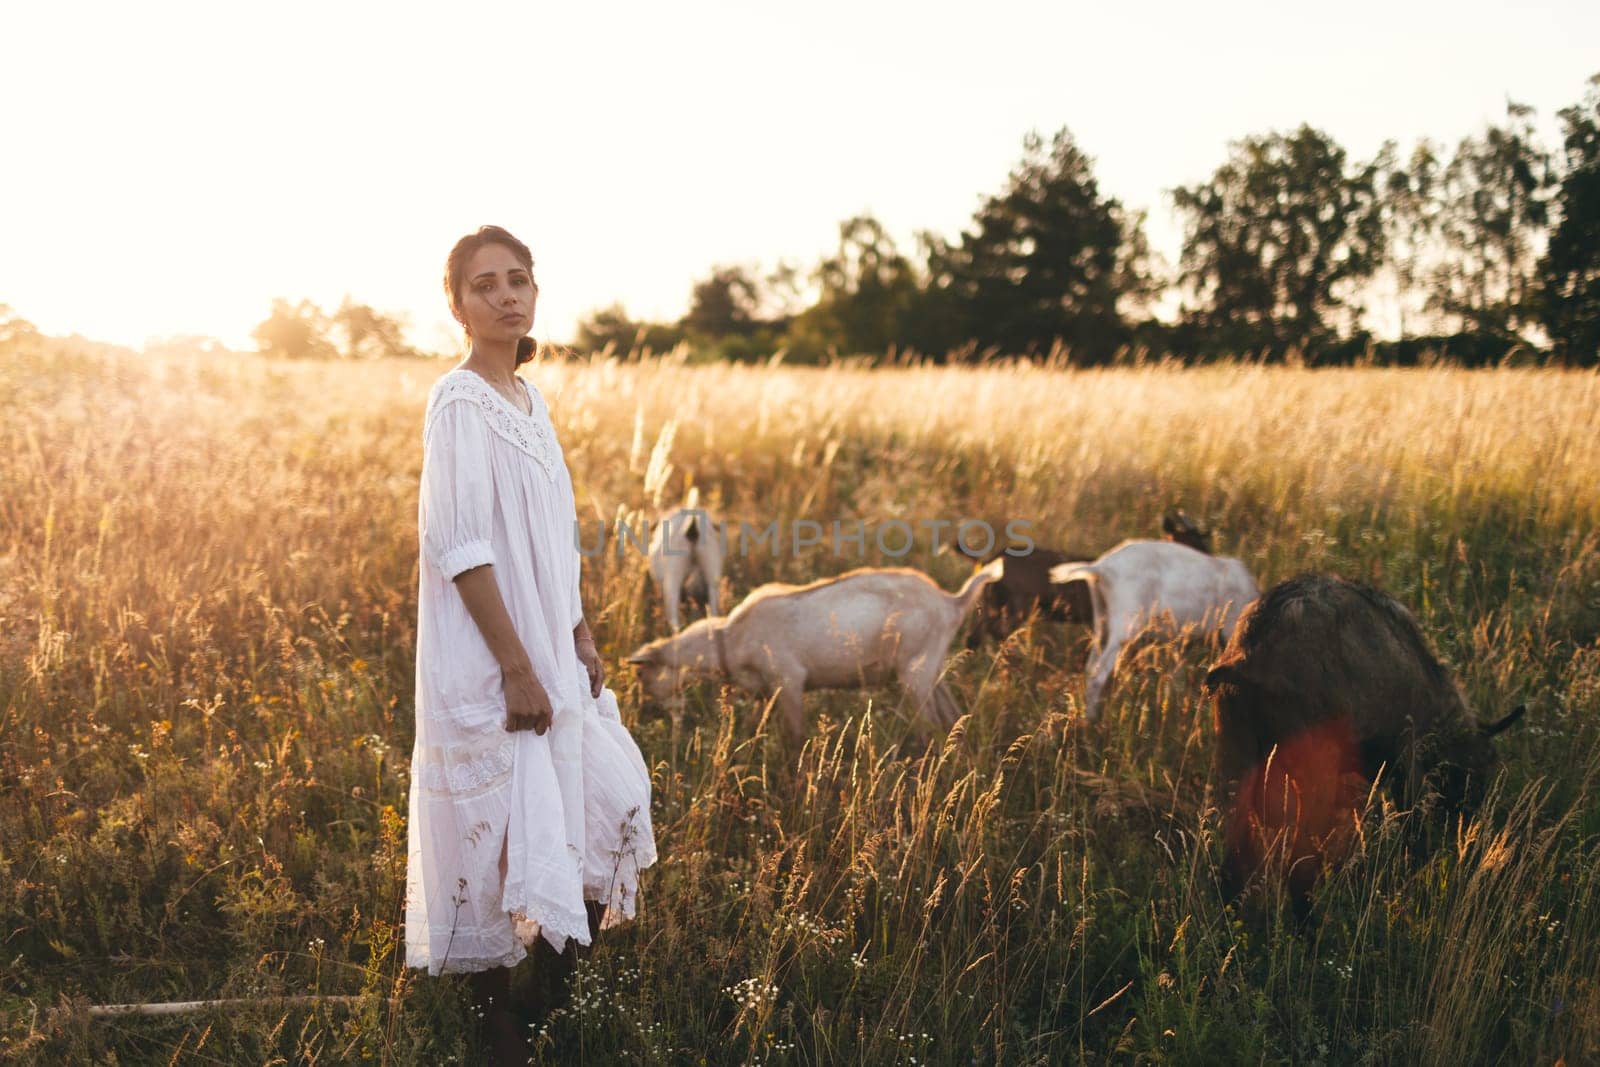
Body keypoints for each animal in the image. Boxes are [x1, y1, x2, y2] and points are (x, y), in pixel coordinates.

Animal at [624, 559, 998, 742]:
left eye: (642, 675)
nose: (645, 714)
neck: (727, 639)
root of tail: (951, 602)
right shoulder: (765, 692)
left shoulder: (789, 680)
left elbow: (795, 736)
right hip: (933, 667)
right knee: (953, 717)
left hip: (914, 671)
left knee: (931, 725)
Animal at [1049, 537, 1260, 723]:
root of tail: (1102, 568)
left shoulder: (1182, 644)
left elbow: (1177, 681)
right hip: (1125, 624)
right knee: (1098, 674)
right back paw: (1092, 722)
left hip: (1102, 621)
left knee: (1090, 666)